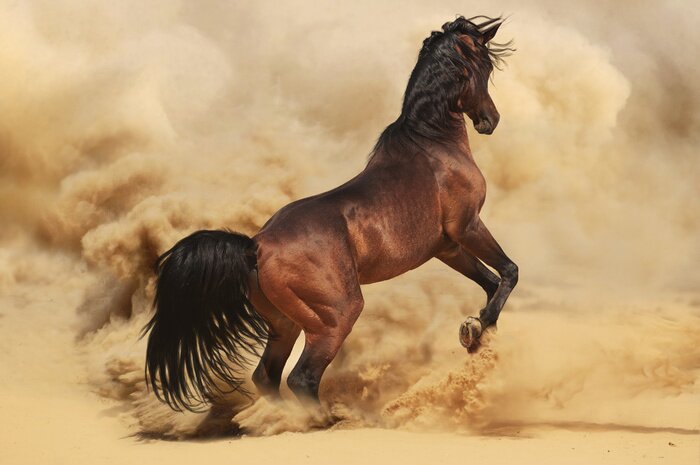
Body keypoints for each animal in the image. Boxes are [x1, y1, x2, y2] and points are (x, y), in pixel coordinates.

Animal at [143, 15, 517, 413]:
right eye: (485, 66)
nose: (490, 120)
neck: (433, 145)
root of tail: (255, 246)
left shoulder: (446, 247)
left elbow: (490, 282)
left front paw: (476, 333)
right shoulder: (468, 227)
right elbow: (508, 273)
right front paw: (478, 328)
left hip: (286, 322)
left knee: (267, 376)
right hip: (336, 315)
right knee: (301, 377)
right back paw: (329, 418)